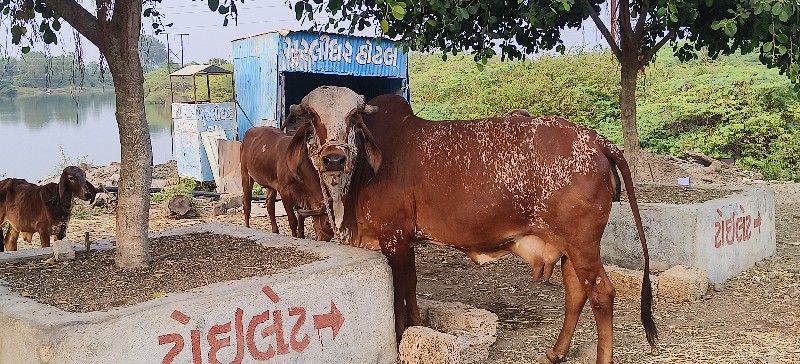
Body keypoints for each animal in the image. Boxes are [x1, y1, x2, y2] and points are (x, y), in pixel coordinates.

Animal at [286, 86, 656, 362]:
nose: (334, 158)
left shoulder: (394, 238)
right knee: (576, 292)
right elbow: (410, 287)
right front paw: (418, 328)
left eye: (353, 117)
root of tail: (596, 141)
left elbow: (398, 293)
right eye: (313, 116)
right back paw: (555, 352)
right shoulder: (407, 241)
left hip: (582, 243)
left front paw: (403, 334)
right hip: (569, 247)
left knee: (602, 294)